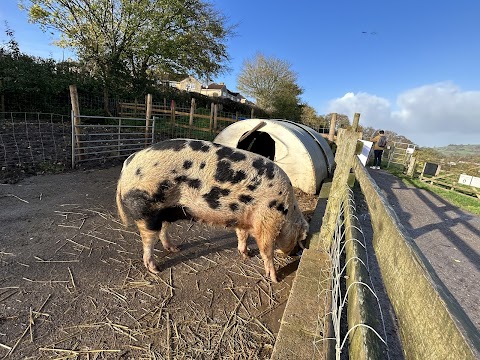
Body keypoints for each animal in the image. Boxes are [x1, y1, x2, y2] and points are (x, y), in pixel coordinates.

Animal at [117, 139, 308, 282]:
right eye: (300, 239)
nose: (297, 253)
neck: (287, 212)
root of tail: (126, 166)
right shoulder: (267, 221)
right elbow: (266, 249)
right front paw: (275, 278)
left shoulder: (243, 218)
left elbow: (242, 235)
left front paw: (246, 254)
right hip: (146, 207)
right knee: (148, 240)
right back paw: (156, 269)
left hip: (166, 210)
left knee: (163, 230)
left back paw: (175, 248)